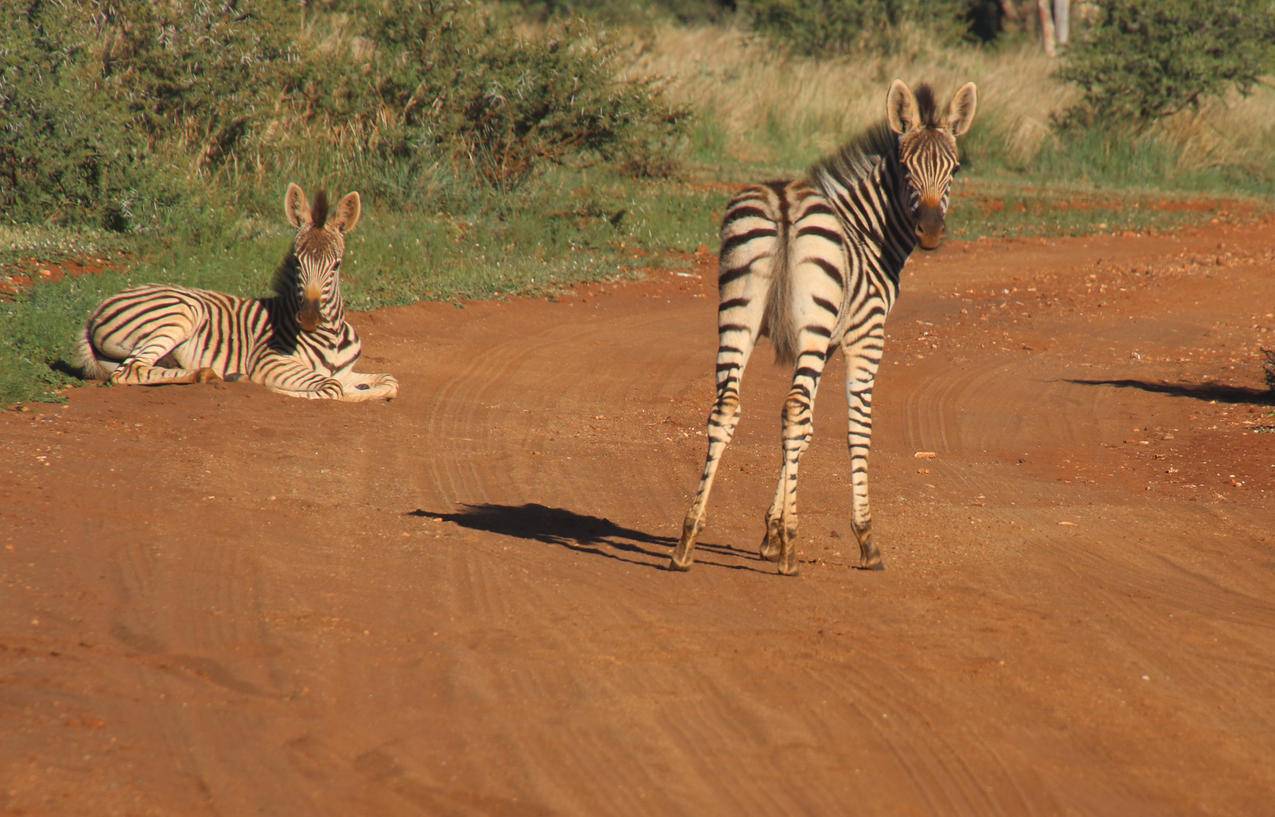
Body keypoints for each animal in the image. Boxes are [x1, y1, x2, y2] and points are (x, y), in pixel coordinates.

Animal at [77, 183, 395, 402]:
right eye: (296, 261)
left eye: (336, 265)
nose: (308, 319)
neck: (332, 336)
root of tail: (94, 312)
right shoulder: (271, 361)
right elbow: (332, 387)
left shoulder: (346, 371)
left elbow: (390, 382)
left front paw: (367, 390)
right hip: (181, 311)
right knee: (131, 370)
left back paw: (207, 373)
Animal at [668, 78, 974, 573]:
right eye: (906, 167)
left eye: (955, 168)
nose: (930, 231)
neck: (869, 231)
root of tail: (783, 201)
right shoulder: (864, 334)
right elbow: (856, 429)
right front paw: (863, 539)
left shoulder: (827, 342)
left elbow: (807, 430)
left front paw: (771, 531)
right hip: (805, 326)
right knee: (792, 408)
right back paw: (792, 553)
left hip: (739, 314)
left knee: (729, 407)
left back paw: (688, 538)